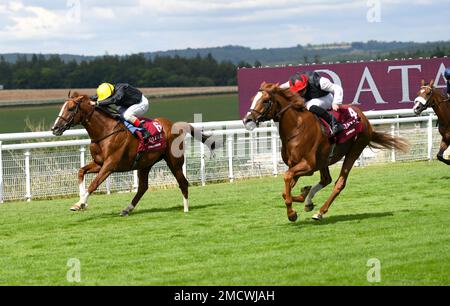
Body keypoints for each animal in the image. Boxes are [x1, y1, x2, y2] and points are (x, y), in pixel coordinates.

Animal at [51, 92, 215, 215]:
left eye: (71, 108)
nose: (55, 128)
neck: (105, 132)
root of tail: (176, 125)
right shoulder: (99, 163)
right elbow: (80, 172)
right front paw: (81, 202)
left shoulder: (110, 165)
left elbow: (94, 184)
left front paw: (80, 203)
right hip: (145, 164)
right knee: (143, 187)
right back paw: (127, 209)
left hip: (174, 161)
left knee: (183, 182)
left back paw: (186, 208)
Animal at [244, 83, 410, 222]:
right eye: (253, 99)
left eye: (265, 101)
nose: (247, 120)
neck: (296, 128)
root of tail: (364, 118)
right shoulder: (295, 165)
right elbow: (286, 190)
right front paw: (303, 196)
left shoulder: (308, 166)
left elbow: (286, 178)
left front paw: (291, 213)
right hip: (324, 160)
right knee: (326, 179)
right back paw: (309, 201)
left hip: (354, 150)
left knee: (339, 183)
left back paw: (320, 212)